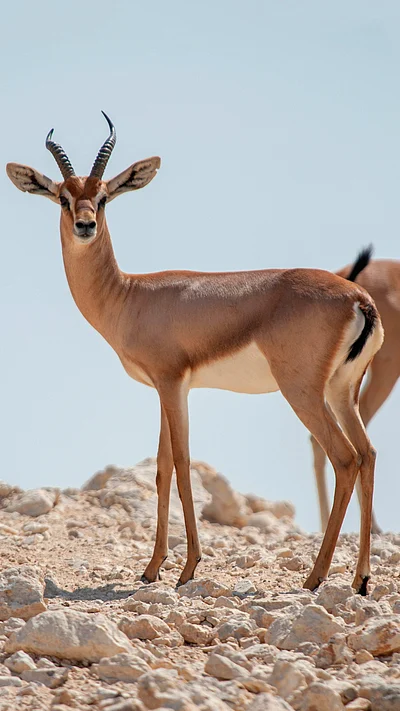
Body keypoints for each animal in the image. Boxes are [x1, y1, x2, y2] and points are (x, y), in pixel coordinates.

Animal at [6, 113, 384, 594]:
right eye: (62, 197)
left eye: (104, 197)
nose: (85, 226)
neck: (131, 295)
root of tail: (359, 298)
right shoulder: (168, 389)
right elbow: (162, 468)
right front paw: (152, 568)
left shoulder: (171, 382)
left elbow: (183, 465)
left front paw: (187, 569)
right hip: (341, 391)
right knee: (368, 454)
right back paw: (360, 579)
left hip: (303, 393)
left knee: (345, 458)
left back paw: (315, 577)